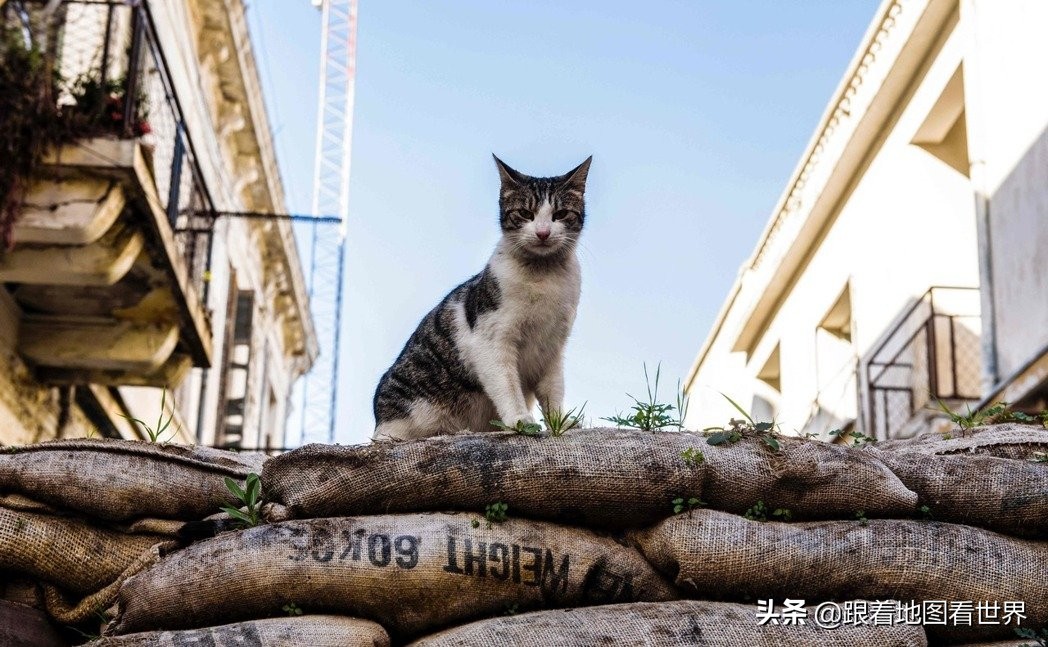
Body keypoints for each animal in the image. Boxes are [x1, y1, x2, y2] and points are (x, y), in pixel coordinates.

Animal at [375, 154, 591, 442]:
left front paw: (561, 423)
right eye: (525, 213)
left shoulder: (552, 348)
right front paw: (520, 420)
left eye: (560, 214)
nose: (543, 232)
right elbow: (507, 386)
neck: (544, 278)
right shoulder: (490, 341)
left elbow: (553, 391)